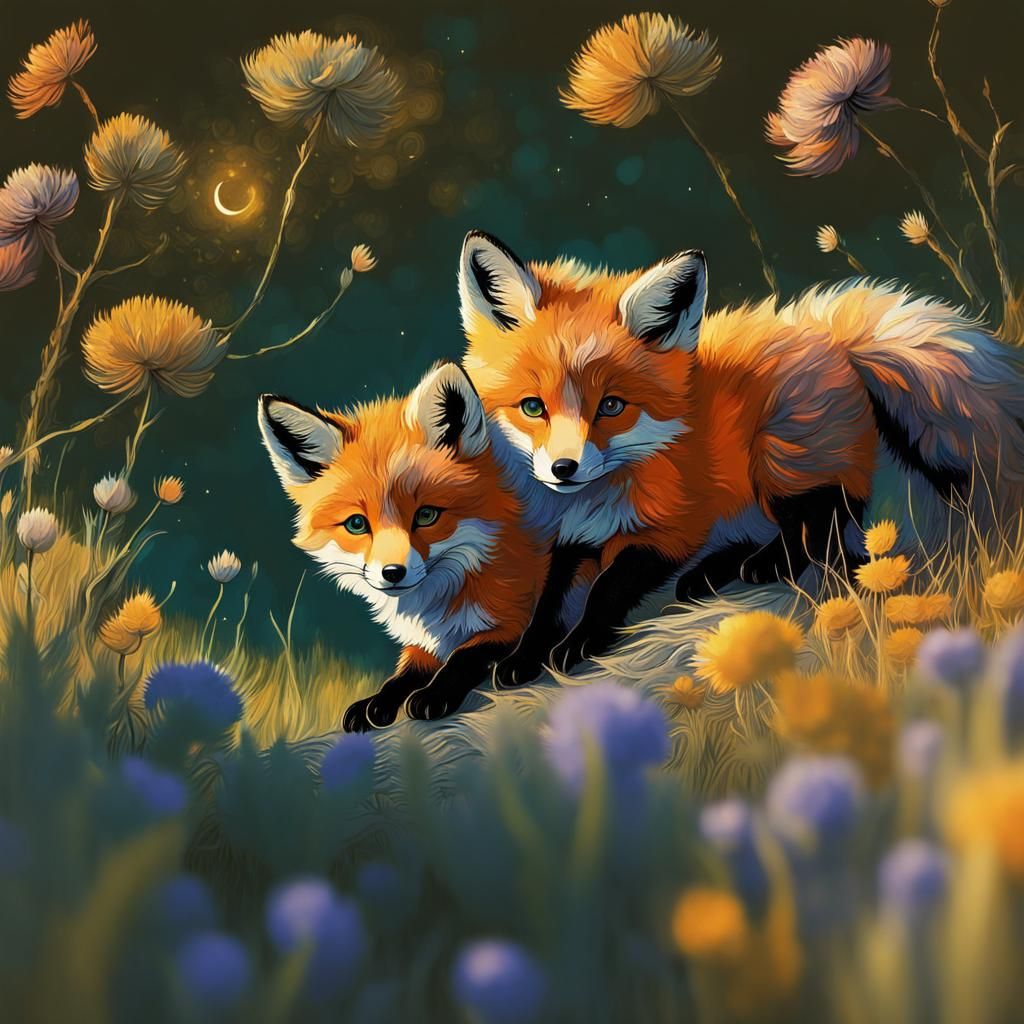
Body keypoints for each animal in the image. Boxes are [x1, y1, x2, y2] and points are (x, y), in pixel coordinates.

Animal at [257, 361, 548, 730]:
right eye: (356, 524)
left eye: (426, 515)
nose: (392, 573)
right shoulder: (421, 645)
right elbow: (400, 677)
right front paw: (376, 703)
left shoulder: (513, 615)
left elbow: (464, 655)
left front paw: (434, 694)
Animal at [458, 230, 1024, 683]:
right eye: (533, 406)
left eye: (612, 406)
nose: (563, 469)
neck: (589, 501)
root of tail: (826, 334)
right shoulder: (567, 541)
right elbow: (548, 605)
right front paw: (524, 657)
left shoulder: (671, 526)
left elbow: (608, 589)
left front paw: (578, 644)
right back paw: (715, 571)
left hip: (780, 460)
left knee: (822, 527)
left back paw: (763, 565)